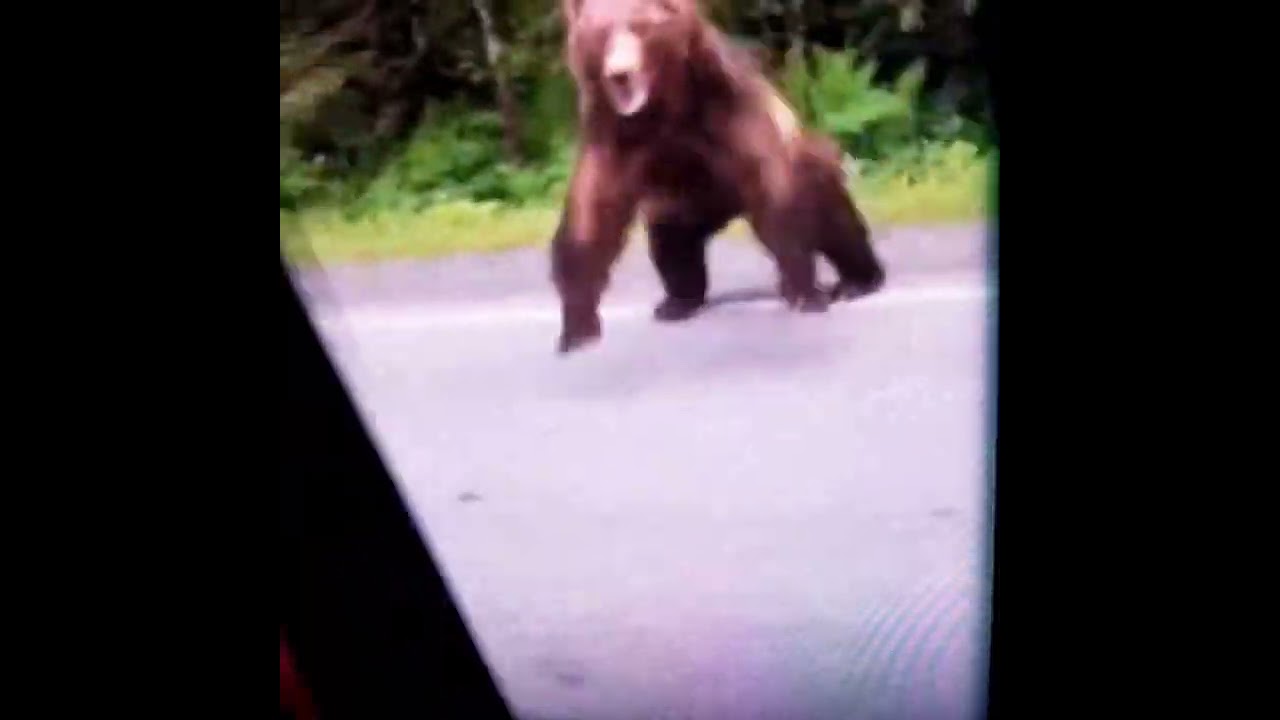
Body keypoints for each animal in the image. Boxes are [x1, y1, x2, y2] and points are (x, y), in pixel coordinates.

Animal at [551, 0, 885, 354]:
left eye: (640, 27)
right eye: (601, 34)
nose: (619, 73)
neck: (665, 106)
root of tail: (724, 214)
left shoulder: (726, 105)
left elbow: (773, 192)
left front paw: (805, 293)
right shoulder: (614, 131)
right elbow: (593, 214)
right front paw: (577, 327)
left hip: (807, 159)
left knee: (834, 219)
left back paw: (858, 280)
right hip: (677, 207)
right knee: (672, 245)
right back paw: (677, 302)